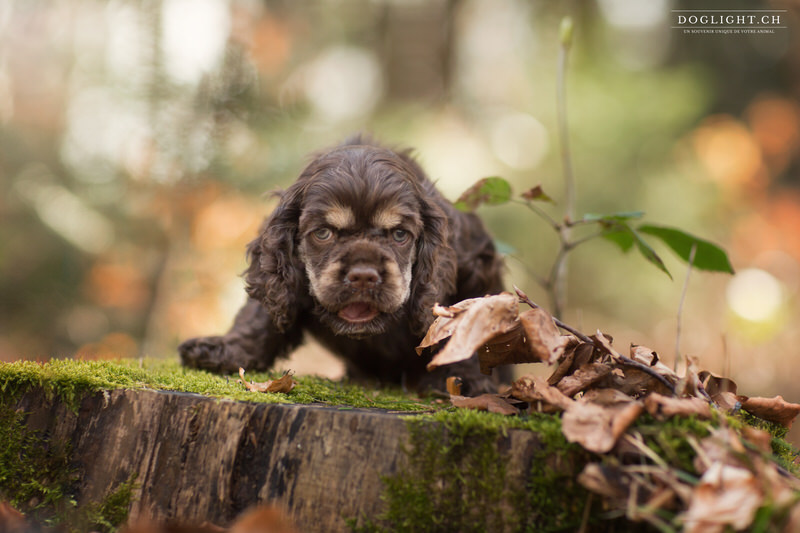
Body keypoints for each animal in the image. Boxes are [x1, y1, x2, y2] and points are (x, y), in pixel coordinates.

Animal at [182, 136, 506, 394]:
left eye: (400, 235)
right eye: (323, 233)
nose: (363, 277)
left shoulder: (474, 268)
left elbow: (465, 321)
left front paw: (463, 378)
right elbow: (260, 313)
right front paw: (224, 350)